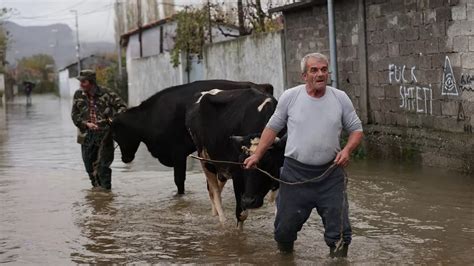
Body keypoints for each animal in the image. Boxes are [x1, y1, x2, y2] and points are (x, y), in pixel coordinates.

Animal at [110, 80, 272, 194]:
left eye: (116, 134)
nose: (124, 159)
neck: (150, 117)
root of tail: (261, 86)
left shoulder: (178, 152)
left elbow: (179, 180)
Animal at [184, 88, 286, 229]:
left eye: (267, 163)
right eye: (242, 164)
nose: (249, 201)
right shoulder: (237, 175)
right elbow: (241, 214)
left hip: (221, 167)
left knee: (214, 189)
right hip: (205, 159)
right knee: (214, 191)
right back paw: (222, 221)